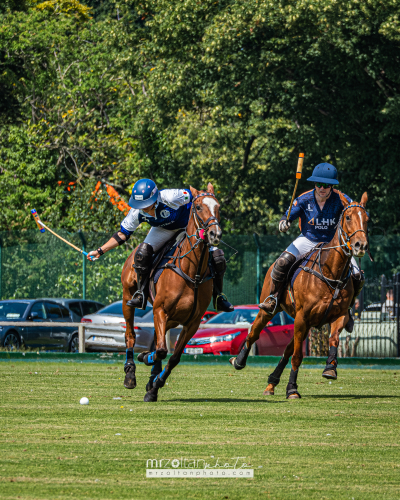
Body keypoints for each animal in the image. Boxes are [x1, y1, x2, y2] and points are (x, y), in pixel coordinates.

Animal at [120, 184, 223, 402]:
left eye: (218, 207)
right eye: (198, 207)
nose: (215, 234)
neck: (193, 272)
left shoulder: (193, 321)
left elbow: (173, 356)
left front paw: (154, 387)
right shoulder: (160, 310)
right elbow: (160, 350)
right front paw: (145, 360)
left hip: (172, 319)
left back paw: (151, 377)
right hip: (127, 298)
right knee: (130, 335)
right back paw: (130, 374)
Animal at [228, 192, 368, 398]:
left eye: (366, 219)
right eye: (348, 217)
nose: (360, 245)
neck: (331, 273)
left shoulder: (339, 316)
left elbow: (332, 339)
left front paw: (330, 369)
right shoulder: (302, 317)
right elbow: (297, 356)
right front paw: (292, 389)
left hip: (307, 323)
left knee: (287, 349)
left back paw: (271, 383)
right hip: (269, 309)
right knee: (254, 333)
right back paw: (239, 361)